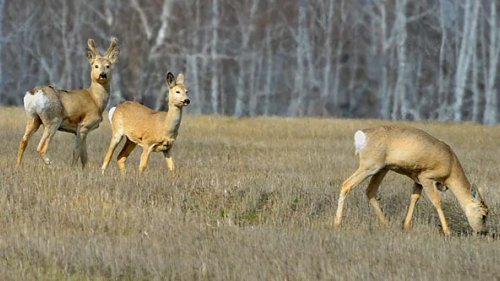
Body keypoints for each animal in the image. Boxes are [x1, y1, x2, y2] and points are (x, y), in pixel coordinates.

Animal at [16, 38, 120, 167]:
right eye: (96, 66)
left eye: (108, 66)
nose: (102, 75)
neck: (95, 100)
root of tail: (34, 93)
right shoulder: (84, 125)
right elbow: (76, 152)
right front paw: (73, 169)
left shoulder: (80, 131)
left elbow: (84, 157)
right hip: (53, 120)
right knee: (41, 147)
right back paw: (50, 163)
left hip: (33, 118)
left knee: (23, 141)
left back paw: (18, 166)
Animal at [332, 124, 488, 234]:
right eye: (484, 215)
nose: (482, 232)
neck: (450, 163)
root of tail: (362, 134)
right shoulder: (426, 178)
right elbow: (437, 201)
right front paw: (447, 231)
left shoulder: (417, 180)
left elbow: (414, 198)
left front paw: (406, 226)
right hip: (369, 167)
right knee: (346, 184)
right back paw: (337, 223)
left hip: (382, 169)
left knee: (370, 192)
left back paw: (386, 223)